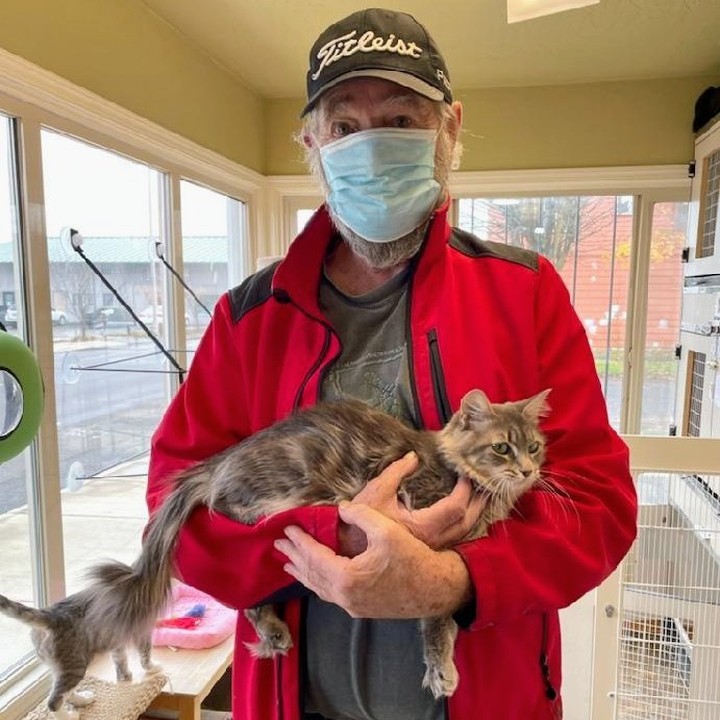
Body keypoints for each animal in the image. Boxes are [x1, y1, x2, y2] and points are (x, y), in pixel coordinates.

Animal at [0, 388, 548, 708]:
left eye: (534, 447)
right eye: (502, 448)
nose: (528, 471)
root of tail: (220, 461)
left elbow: (445, 621)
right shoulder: (428, 531)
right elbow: (439, 628)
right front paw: (442, 671)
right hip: (285, 490)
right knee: (248, 531)